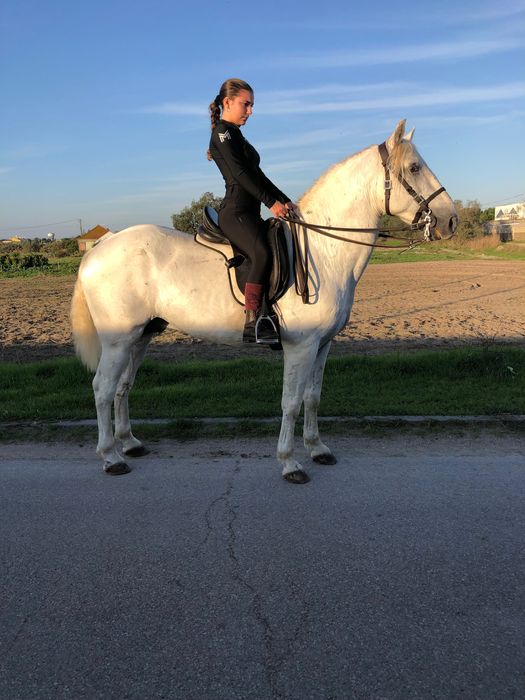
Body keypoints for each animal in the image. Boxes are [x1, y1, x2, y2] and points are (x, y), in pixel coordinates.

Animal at [71, 119, 458, 483]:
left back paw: (129, 444)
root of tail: (99, 248)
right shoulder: (302, 345)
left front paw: (317, 449)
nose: (450, 219)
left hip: (141, 336)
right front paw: (290, 463)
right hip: (118, 340)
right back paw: (111, 457)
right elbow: (291, 402)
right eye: (414, 168)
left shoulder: (323, 345)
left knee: (122, 387)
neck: (324, 250)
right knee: (102, 388)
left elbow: (313, 397)